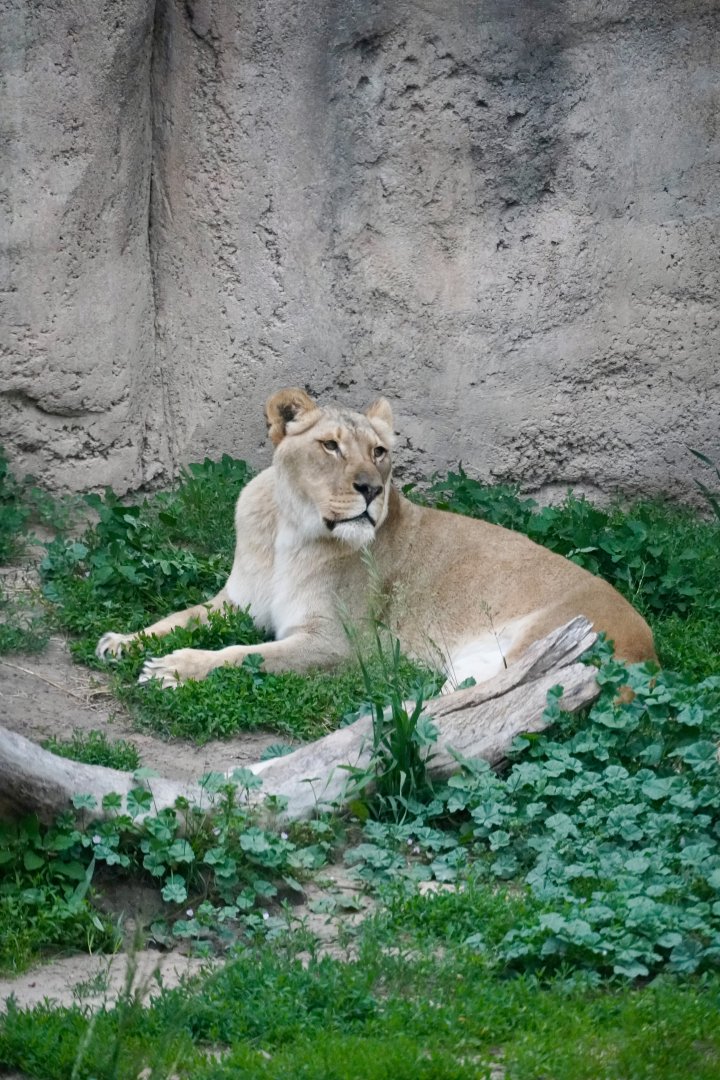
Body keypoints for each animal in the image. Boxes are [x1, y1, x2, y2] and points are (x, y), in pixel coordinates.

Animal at [96, 388, 656, 688]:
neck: (288, 531)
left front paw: (172, 668)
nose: (371, 488)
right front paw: (121, 641)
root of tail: (648, 653)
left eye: (380, 452)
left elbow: (243, 654)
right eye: (330, 446)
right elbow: (176, 617)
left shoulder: (336, 642)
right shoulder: (236, 602)